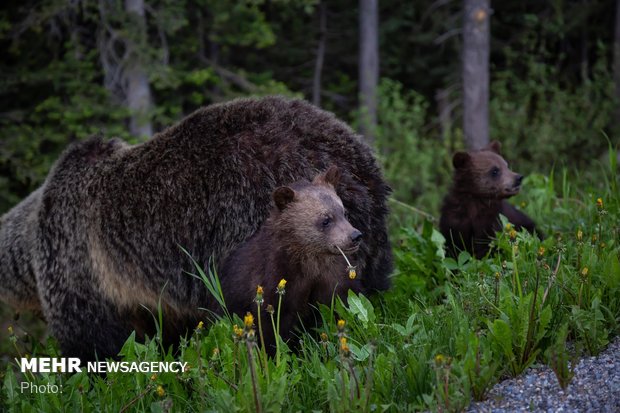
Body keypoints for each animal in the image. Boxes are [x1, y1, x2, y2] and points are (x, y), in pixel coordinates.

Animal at [219, 165, 360, 350]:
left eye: (343, 212)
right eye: (326, 220)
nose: (355, 236)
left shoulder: (330, 281)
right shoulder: (273, 284)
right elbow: (271, 327)